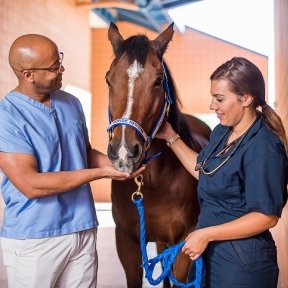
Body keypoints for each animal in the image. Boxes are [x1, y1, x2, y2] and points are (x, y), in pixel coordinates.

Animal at [104, 23, 210, 288]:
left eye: (158, 81)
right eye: (108, 79)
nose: (124, 151)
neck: (154, 182)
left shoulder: (184, 243)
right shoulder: (127, 243)